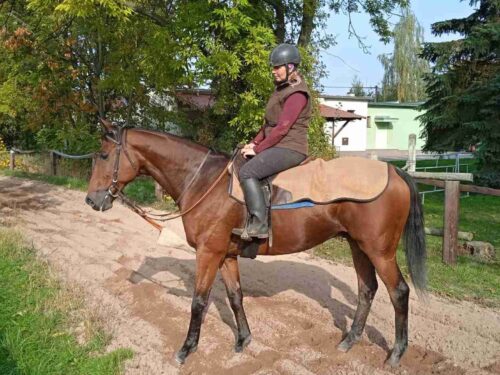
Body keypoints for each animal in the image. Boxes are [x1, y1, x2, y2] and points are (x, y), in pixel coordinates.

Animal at [85, 122, 426, 368]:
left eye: (103, 155)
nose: (92, 200)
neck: (204, 181)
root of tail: (394, 171)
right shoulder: (225, 256)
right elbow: (235, 296)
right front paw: (243, 340)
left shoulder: (208, 254)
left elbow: (198, 302)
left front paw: (186, 350)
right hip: (358, 246)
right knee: (367, 289)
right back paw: (349, 341)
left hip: (380, 251)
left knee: (399, 292)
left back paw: (396, 354)